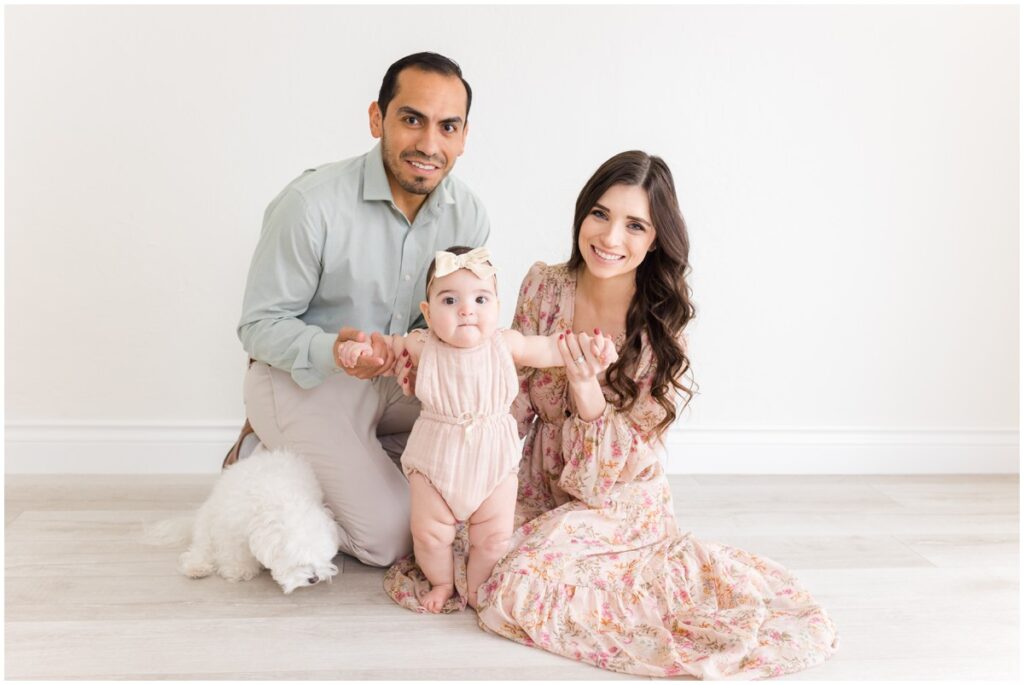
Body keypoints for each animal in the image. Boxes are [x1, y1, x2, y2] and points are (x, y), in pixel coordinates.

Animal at [144, 448, 339, 593]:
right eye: (298, 560)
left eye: (323, 556)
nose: (314, 578)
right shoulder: (231, 527)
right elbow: (235, 552)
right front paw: (239, 570)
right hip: (207, 524)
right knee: (201, 548)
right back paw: (196, 567)